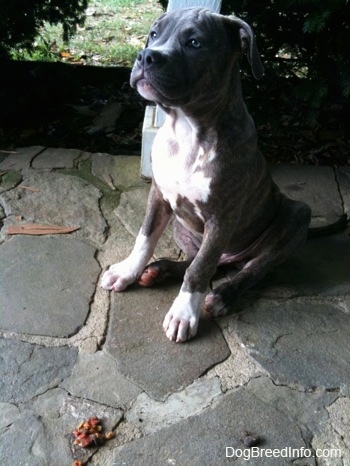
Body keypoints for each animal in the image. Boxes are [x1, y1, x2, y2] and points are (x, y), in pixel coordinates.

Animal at [101, 6, 312, 342]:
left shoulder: (222, 216)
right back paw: (159, 270)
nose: (146, 56)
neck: (186, 130)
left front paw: (183, 313)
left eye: (195, 43)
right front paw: (127, 271)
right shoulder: (159, 195)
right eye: (154, 34)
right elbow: (145, 238)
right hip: (182, 226)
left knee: (248, 269)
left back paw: (222, 295)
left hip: (296, 216)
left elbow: (200, 269)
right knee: (201, 260)